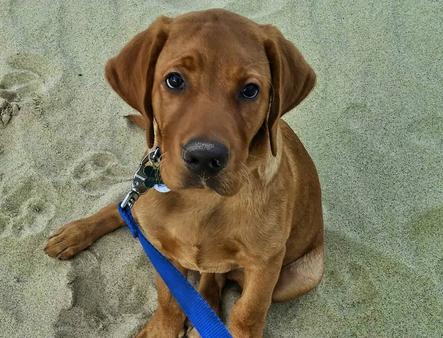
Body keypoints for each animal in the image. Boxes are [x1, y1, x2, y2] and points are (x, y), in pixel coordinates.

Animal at [44, 7, 322, 338]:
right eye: (174, 80)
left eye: (250, 90)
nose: (204, 157)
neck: (200, 200)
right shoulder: (162, 250)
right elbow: (168, 296)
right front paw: (162, 328)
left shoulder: (265, 263)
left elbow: (248, 312)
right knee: (124, 210)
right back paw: (74, 233)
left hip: (305, 274)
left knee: (216, 277)